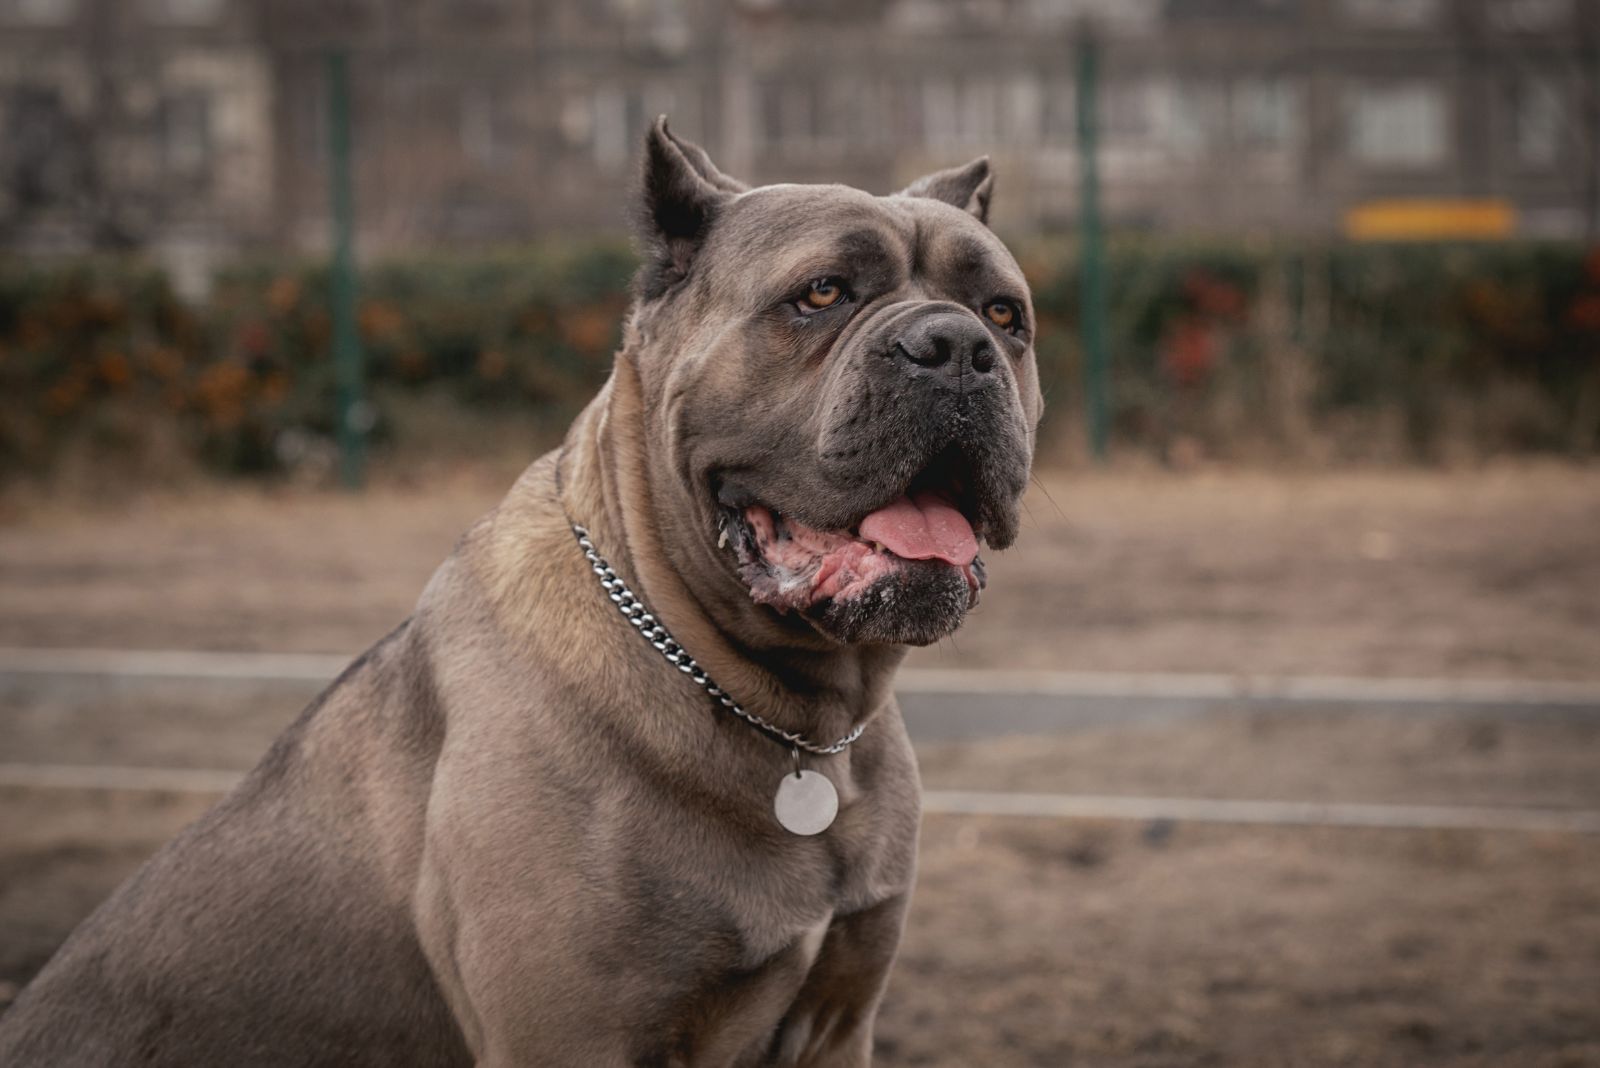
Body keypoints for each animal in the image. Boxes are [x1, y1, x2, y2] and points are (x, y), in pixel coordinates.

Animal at [0, 119, 1043, 1068]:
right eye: (823, 293)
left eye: (1005, 315)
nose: (954, 346)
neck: (784, 711)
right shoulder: (574, 1036)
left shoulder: (834, 1025)